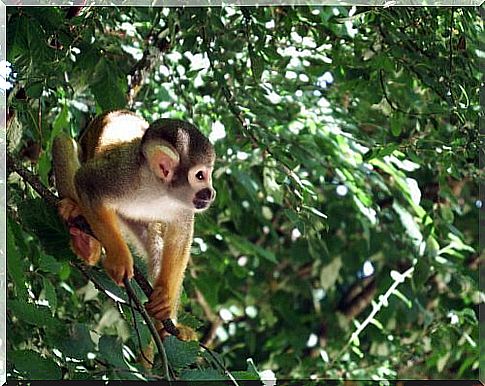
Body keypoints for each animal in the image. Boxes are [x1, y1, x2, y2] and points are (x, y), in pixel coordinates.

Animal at [51, 110, 216, 336]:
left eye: (209, 175)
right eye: (200, 176)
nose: (210, 193)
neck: (157, 187)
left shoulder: (182, 205)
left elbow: (180, 236)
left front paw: (165, 295)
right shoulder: (119, 174)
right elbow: (86, 181)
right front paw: (119, 259)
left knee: (156, 243)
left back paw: (167, 326)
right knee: (63, 141)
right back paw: (85, 237)